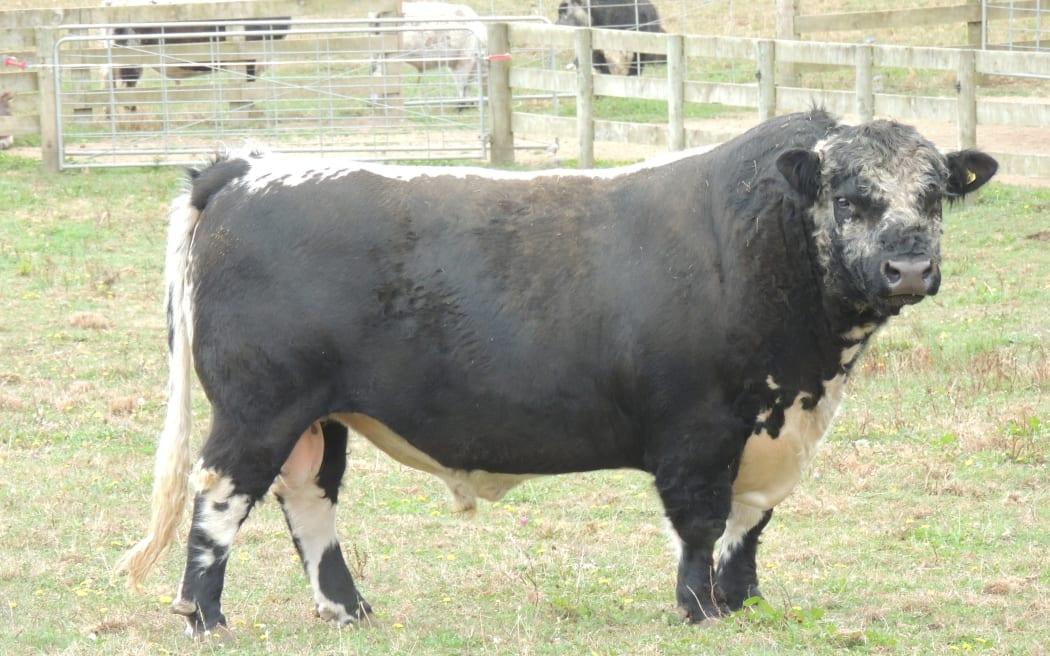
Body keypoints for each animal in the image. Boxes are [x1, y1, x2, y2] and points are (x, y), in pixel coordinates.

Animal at [118, 110, 997, 637]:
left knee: (308, 499)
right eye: (850, 199)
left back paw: (349, 608)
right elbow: (702, 522)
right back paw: (204, 615)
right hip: (258, 407)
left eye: (935, 196)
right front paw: (700, 610)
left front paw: (744, 600)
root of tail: (247, 167)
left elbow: (750, 527)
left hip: (318, 414)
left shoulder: (771, 432)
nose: (909, 268)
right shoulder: (699, 428)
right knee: (222, 494)